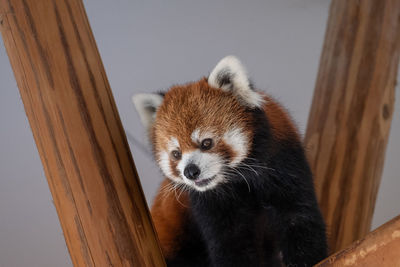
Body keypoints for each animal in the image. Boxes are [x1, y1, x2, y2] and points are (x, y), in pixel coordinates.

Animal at [133, 55, 326, 266]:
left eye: (206, 143)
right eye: (176, 154)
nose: (190, 171)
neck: (237, 178)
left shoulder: (284, 164)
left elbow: (298, 216)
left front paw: (307, 259)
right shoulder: (209, 203)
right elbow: (229, 240)